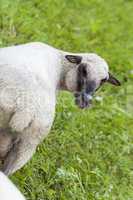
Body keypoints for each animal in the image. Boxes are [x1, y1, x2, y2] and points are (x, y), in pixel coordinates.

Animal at [0, 42, 120, 175]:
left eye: (103, 81)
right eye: (83, 70)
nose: (85, 101)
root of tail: (26, 109)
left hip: (27, 141)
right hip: (28, 144)